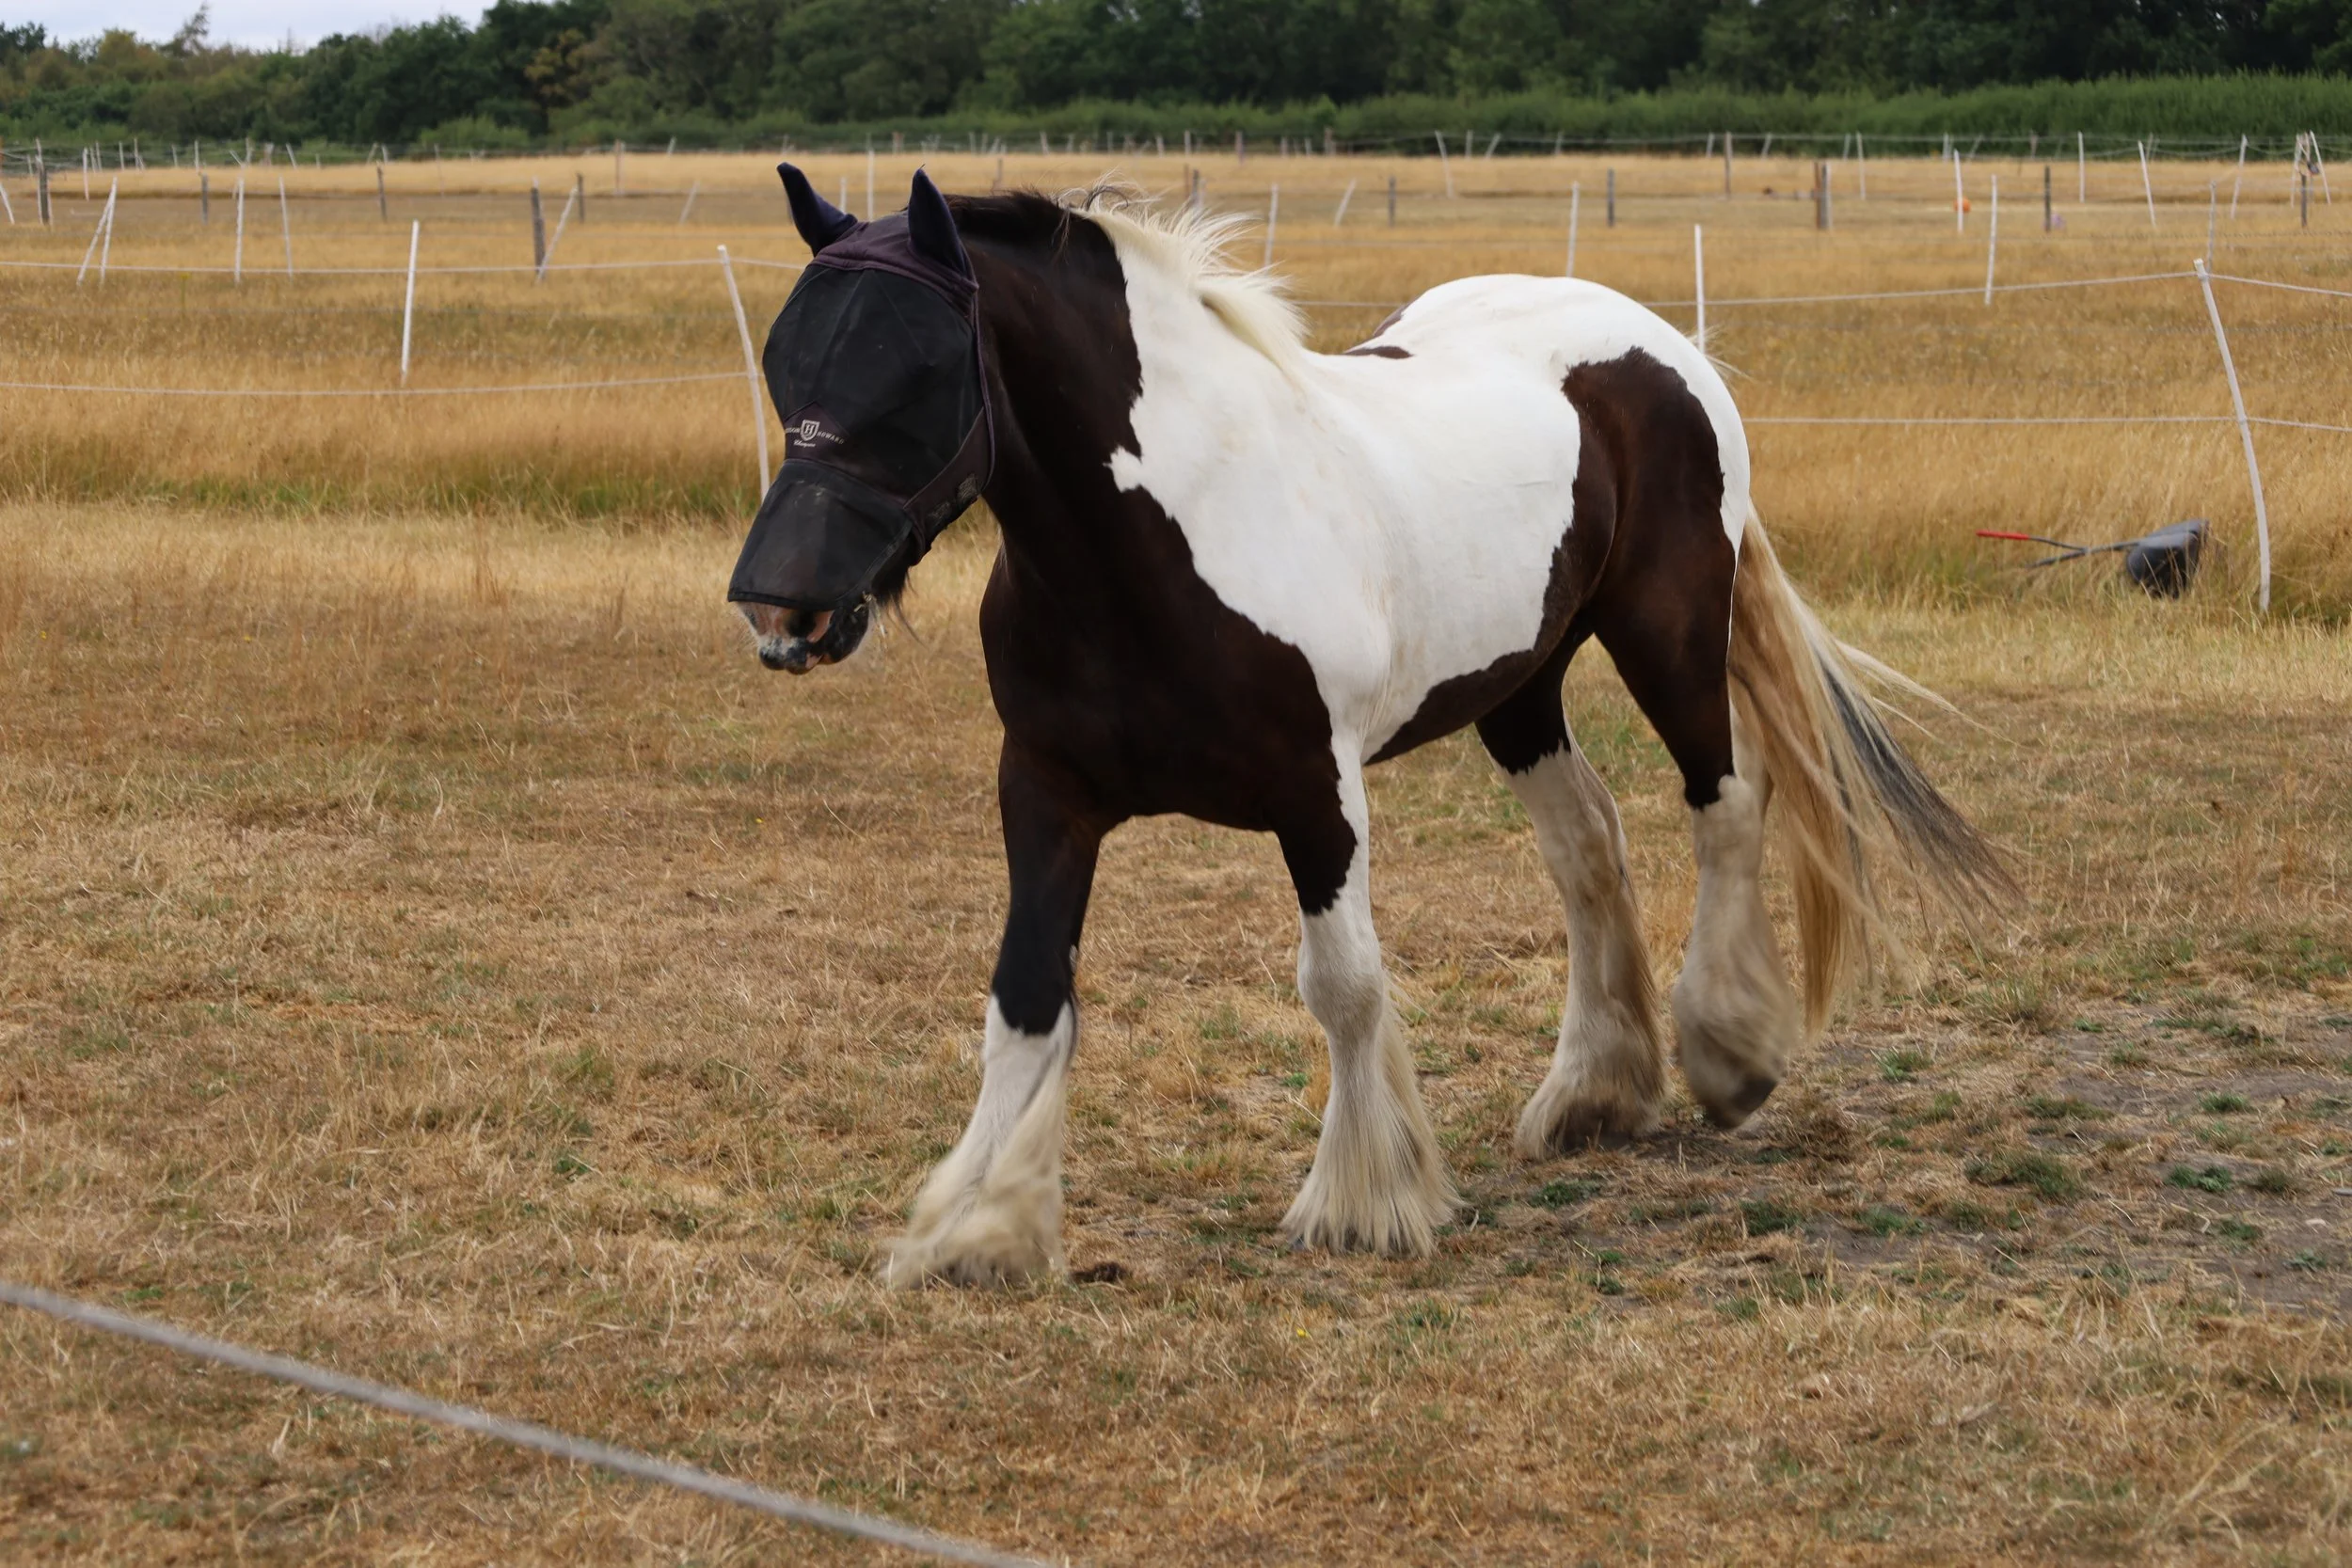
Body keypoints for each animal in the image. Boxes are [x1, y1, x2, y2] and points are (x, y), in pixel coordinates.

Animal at [729, 167, 2009, 1287]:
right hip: (1518, 688)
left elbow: (1341, 985)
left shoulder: (1316, 792)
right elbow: (1026, 994)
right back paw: (1594, 1092)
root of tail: (1658, 341)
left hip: (1670, 633)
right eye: (784, 354)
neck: (1172, 534)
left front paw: (1364, 1201)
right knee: (1589, 846)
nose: (779, 606)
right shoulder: (1045, 792)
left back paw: (1728, 1055)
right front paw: (980, 1225)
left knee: (1725, 803)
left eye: (919, 367)